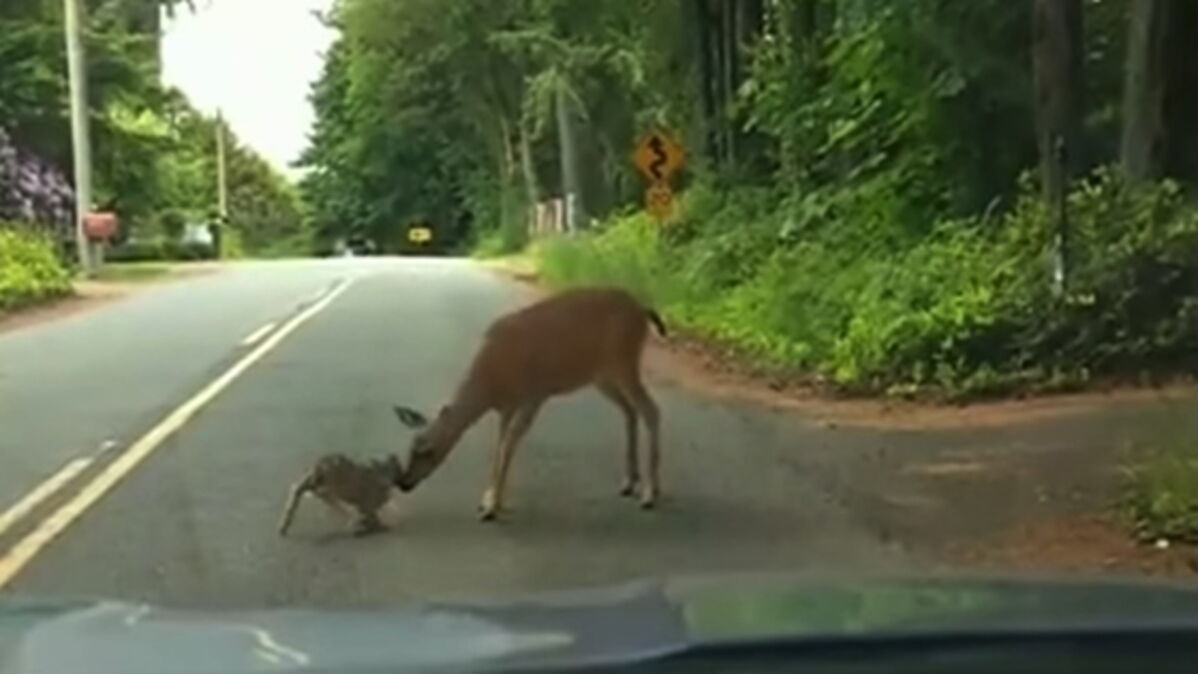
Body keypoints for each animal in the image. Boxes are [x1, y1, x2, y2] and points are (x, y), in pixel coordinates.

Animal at [392, 286, 666, 521]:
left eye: (428, 451)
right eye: (411, 446)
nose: (404, 483)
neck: (490, 381)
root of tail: (642, 309)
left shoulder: (534, 395)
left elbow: (508, 444)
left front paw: (492, 507)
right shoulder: (506, 406)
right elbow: (500, 444)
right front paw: (488, 499)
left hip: (624, 362)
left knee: (651, 410)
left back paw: (650, 494)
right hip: (602, 375)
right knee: (630, 411)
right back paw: (630, 483)